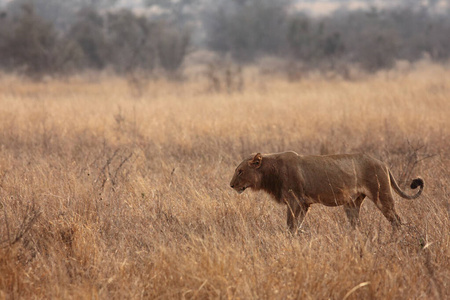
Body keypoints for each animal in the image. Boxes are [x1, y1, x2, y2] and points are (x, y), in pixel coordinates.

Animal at [230, 152, 424, 232]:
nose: (231, 185)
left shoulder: (294, 201)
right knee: (356, 224)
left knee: (397, 220)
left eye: (240, 171)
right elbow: (297, 225)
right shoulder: (304, 204)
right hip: (352, 203)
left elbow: (291, 225)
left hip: (382, 195)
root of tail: (383, 163)